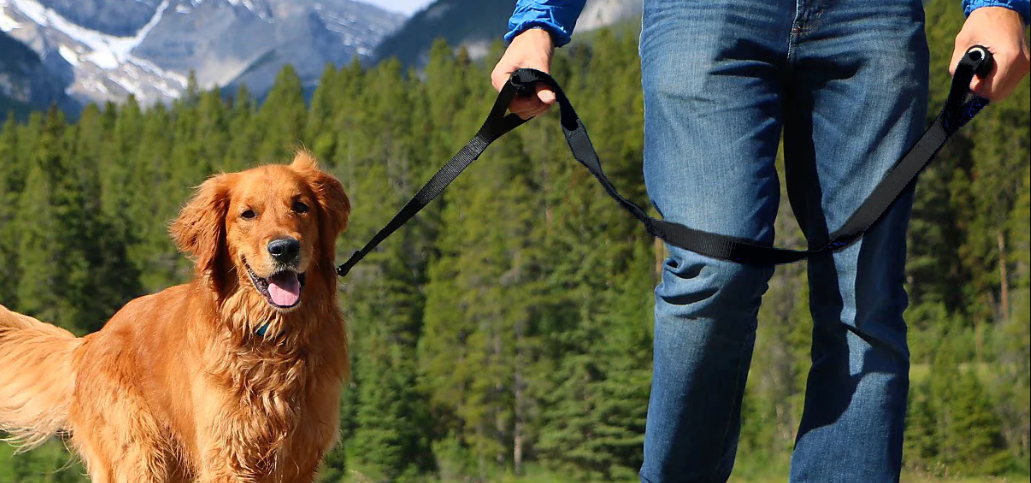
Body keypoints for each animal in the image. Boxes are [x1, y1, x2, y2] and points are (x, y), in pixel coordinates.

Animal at [0, 153, 350, 483]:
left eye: (301, 206)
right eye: (248, 213)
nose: (285, 248)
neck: (270, 339)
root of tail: (91, 340)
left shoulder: (300, 459)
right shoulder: (228, 456)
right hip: (140, 457)